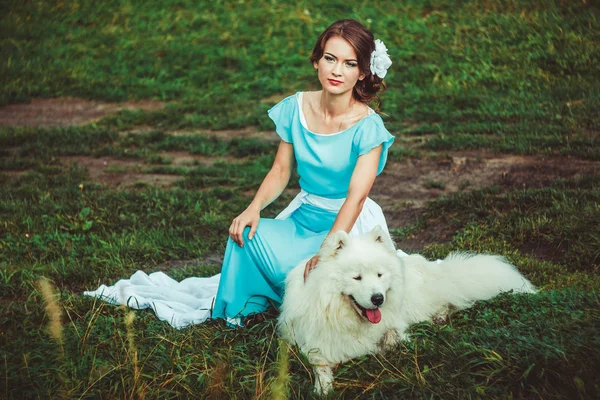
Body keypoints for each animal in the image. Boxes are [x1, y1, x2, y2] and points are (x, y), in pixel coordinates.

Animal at [276, 225, 536, 394]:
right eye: (356, 277)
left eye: (379, 275)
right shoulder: (310, 343)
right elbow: (318, 364)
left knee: (446, 301)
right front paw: (323, 387)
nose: (378, 298)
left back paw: (439, 317)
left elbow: (392, 336)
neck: (346, 317)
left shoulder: (393, 324)